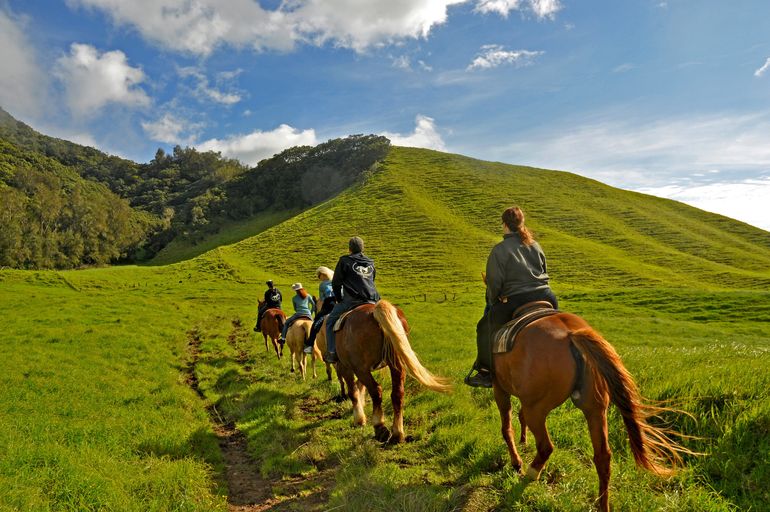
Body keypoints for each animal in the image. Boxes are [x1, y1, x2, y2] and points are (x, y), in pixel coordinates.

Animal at [332, 302, 450, 442]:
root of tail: (374, 311)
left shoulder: (346, 368)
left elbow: (353, 392)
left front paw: (359, 419)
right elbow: (359, 388)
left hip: (361, 369)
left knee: (376, 390)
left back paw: (379, 427)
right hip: (396, 365)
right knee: (397, 394)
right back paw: (397, 433)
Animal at [496, 308, 692, 512]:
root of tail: (571, 333)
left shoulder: (499, 388)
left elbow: (507, 427)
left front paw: (516, 461)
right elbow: (518, 418)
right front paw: (523, 441)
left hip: (537, 409)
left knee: (545, 446)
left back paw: (529, 474)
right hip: (595, 410)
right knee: (603, 457)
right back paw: (602, 504)